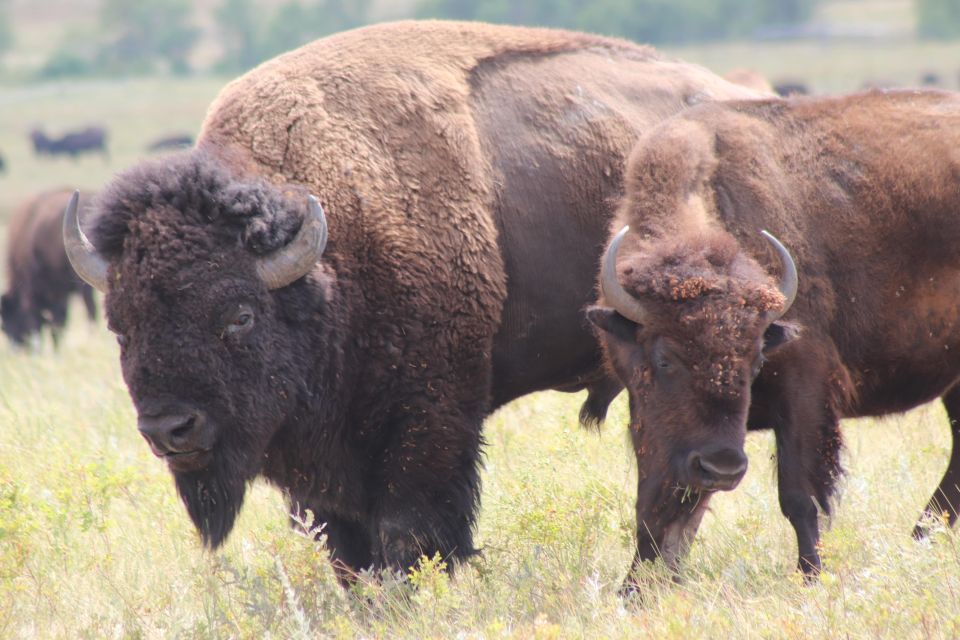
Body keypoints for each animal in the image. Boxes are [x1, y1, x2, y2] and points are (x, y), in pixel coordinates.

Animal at [1, 188, 97, 348]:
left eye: (7, 322)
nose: (16, 347)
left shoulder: (33, 292)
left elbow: (40, 321)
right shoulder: (59, 294)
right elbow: (58, 322)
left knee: (91, 311)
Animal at [63, 20, 760, 584]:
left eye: (239, 315)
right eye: (121, 328)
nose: (169, 429)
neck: (334, 242)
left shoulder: (429, 419)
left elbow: (409, 531)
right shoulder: (322, 460)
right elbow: (344, 544)